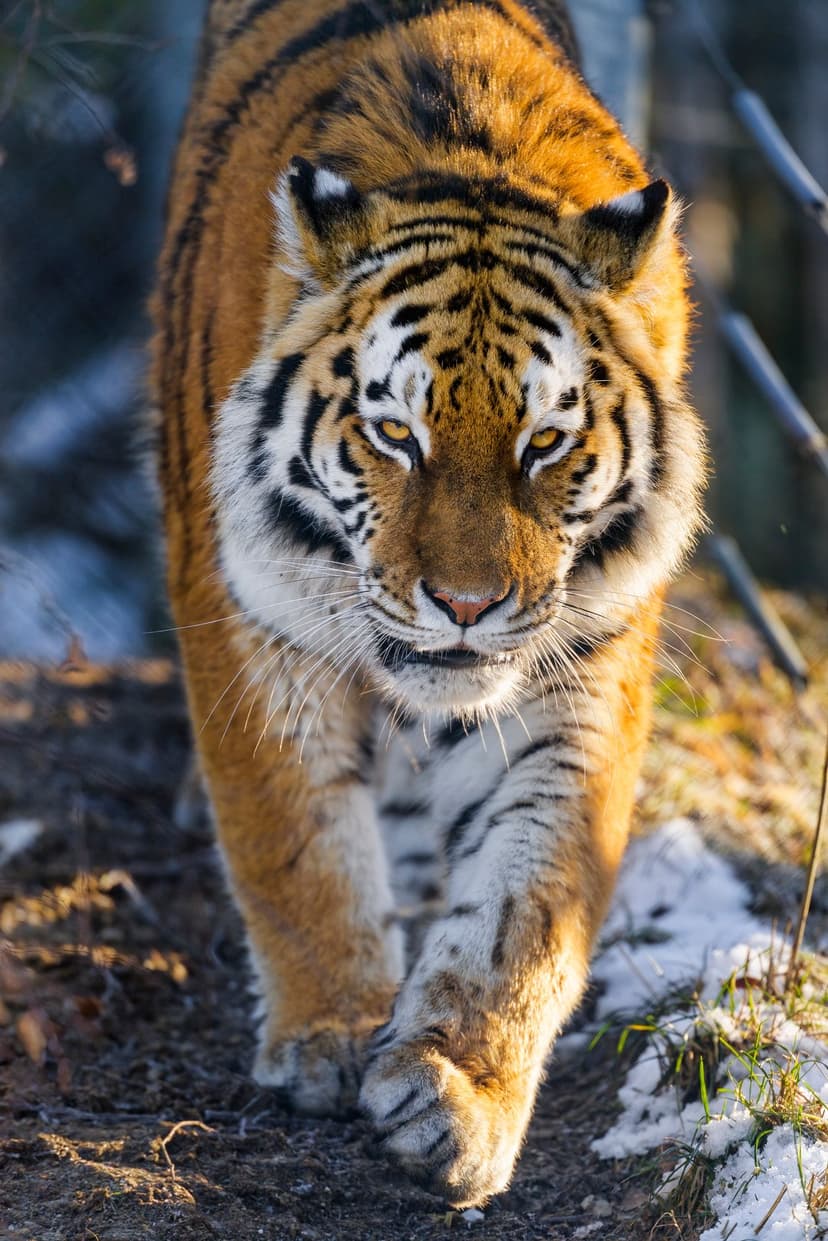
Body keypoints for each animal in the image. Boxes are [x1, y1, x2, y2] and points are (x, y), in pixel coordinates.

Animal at [151, 0, 707, 1208]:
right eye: (395, 433)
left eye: (544, 441)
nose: (463, 601)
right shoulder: (252, 624)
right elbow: (295, 840)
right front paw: (330, 1032)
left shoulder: (583, 663)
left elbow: (528, 899)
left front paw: (458, 1086)